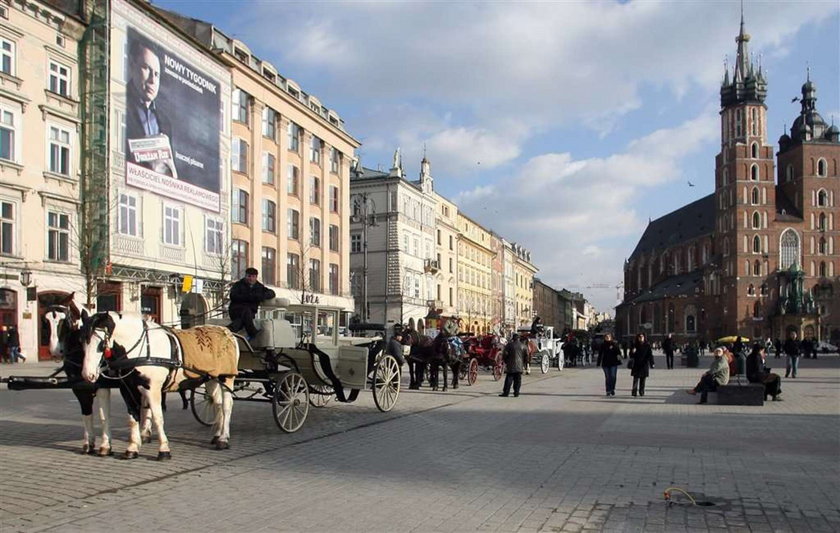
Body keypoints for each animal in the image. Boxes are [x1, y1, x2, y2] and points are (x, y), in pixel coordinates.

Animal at [82, 310, 238, 460]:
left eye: (101, 344)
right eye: (81, 340)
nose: (87, 375)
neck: (143, 350)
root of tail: (227, 332)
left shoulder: (153, 389)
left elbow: (158, 418)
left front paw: (163, 450)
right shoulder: (127, 389)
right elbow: (133, 418)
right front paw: (132, 449)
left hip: (227, 377)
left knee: (227, 406)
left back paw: (223, 439)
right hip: (211, 379)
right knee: (217, 404)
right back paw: (217, 435)